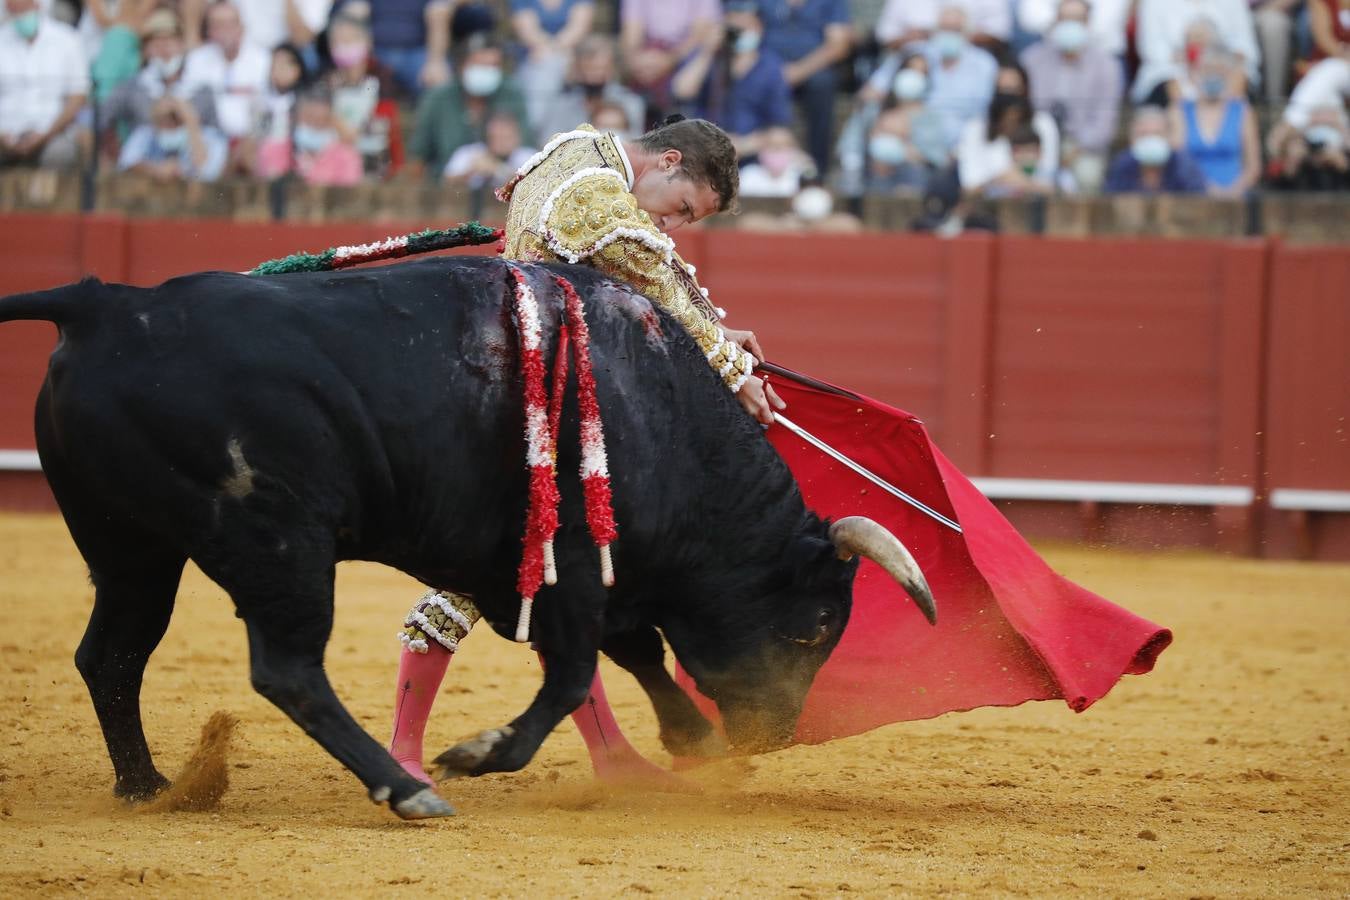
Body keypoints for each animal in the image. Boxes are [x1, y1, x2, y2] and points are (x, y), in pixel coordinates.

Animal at [0, 256, 928, 820]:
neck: (659, 407)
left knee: (112, 655)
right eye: (816, 625)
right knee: (286, 669)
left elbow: (629, 654)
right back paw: (405, 789)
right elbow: (576, 670)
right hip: (278, 542)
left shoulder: (541, 568)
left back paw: (146, 785)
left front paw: (684, 744)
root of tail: (107, 302)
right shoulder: (571, 564)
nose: (772, 734)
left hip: (130, 547)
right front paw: (484, 753)